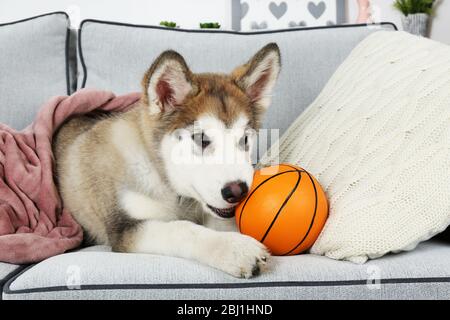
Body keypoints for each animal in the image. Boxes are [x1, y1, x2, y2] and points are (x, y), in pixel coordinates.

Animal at [53, 42, 282, 278]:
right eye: (201, 139)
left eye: (245, 139)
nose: (238, 191)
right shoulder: (125, 229)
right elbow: (181, 228)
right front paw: (235, 249)